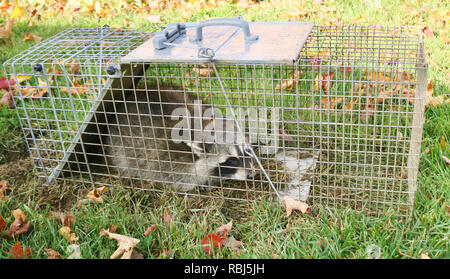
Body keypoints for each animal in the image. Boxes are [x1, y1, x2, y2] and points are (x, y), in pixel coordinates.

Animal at [103, 86, 255, 192]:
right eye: (230, 161)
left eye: (247, 152)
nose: (251, 175)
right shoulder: (166, 159)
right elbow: (182, 177)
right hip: (119, 147)